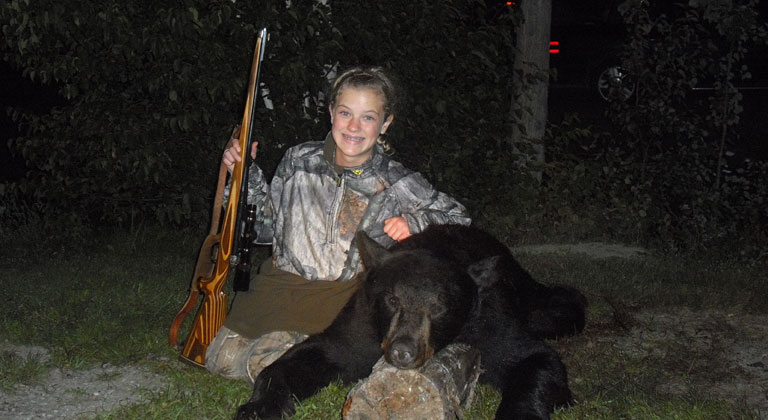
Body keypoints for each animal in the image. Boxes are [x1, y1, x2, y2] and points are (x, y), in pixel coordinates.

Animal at [235, 224, 587, 420]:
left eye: (439, 307)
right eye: (392, 300)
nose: (402, 351)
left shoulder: (489, 325)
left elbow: (534, 358)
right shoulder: (363, 322)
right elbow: (312, 354)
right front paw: (258, 406)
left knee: (557, 307)